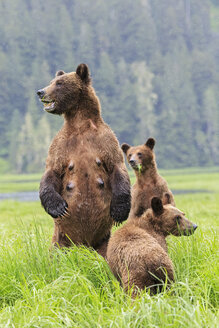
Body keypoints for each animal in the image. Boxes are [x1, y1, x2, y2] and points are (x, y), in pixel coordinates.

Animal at [36, 62, 131, 256]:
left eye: (59, 83)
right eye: (52, 81)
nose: (40, 91)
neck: (80, 124)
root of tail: (84, 245)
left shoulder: (105, 140)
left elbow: (117, 168)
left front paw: (119, 211)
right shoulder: (60, 145)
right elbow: (51, 172)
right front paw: (58, 207)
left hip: (104, 239)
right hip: (60, 239)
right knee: (55, 254)